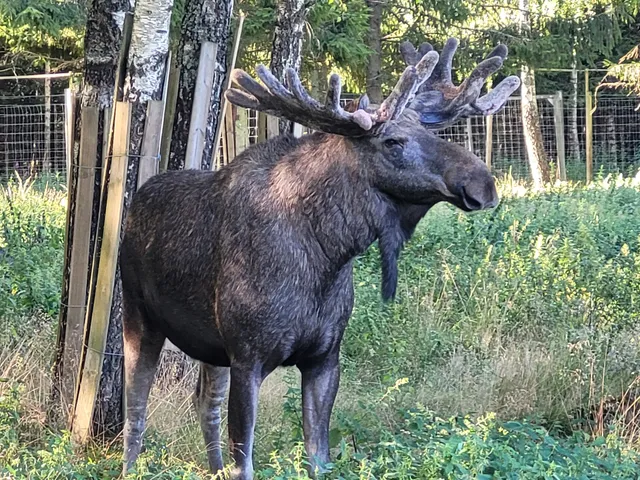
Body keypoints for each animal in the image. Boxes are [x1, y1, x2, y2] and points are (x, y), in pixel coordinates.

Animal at [120, 38, 520, 479]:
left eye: (429, 130)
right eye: (392, 141)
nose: (483, 184)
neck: (328, 256)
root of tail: (135, 203)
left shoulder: (324, 358)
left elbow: (319, 457)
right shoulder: (248, 356)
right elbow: (246, 461)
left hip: (212, 347)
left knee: (206, 403)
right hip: (139, 315)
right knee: (135, 408)